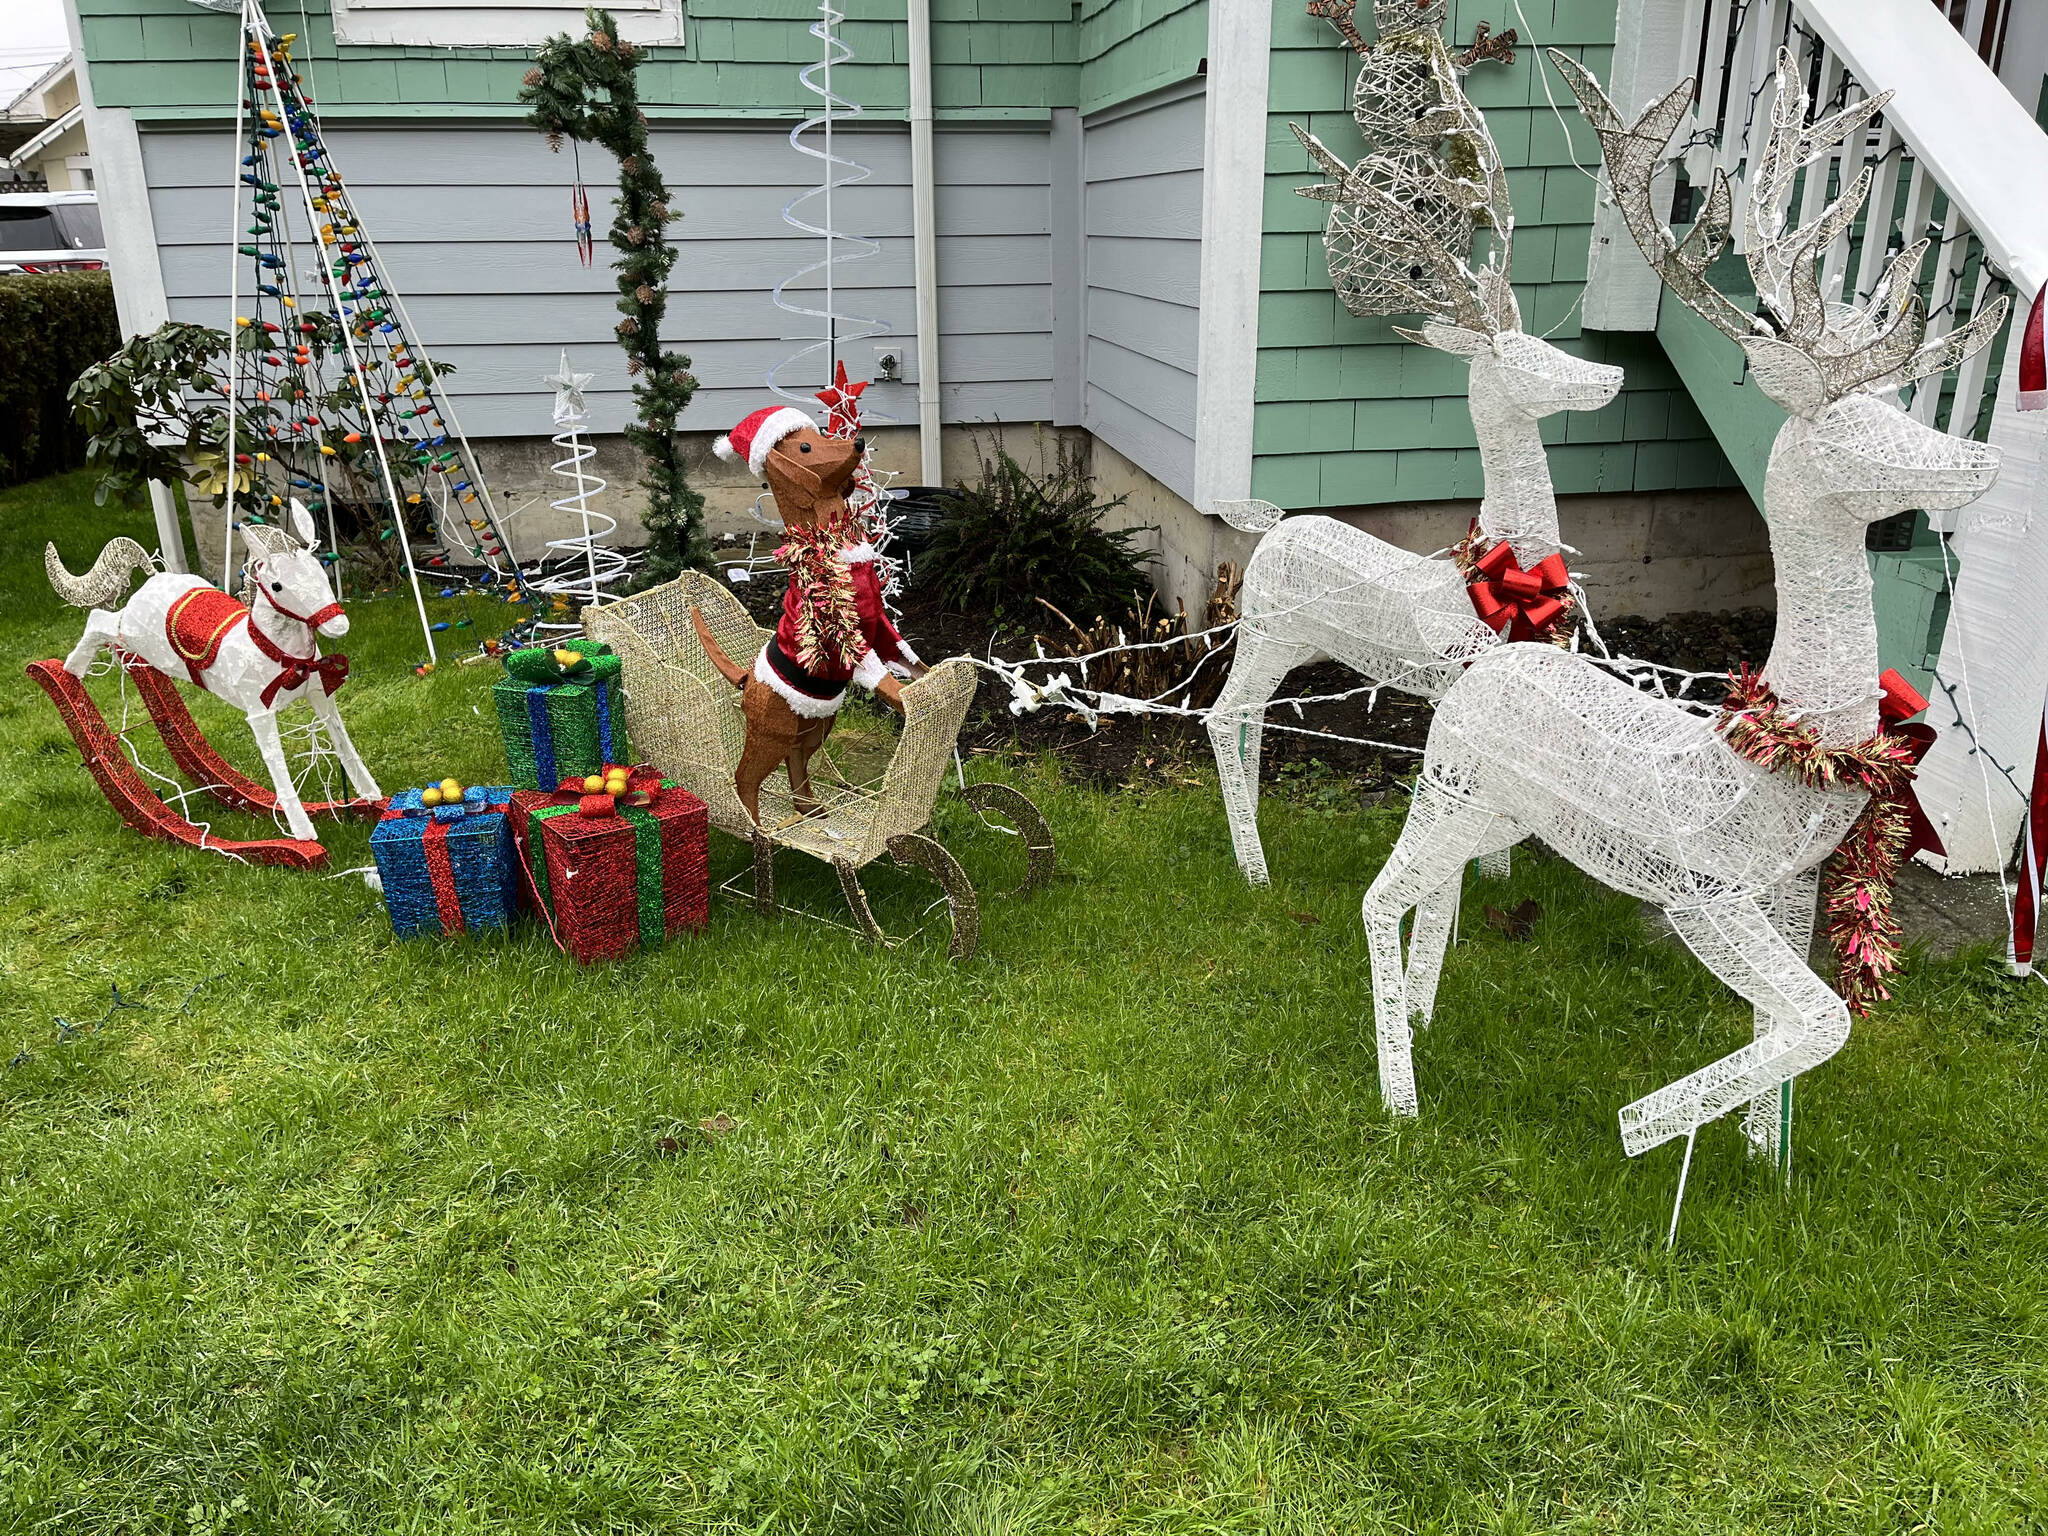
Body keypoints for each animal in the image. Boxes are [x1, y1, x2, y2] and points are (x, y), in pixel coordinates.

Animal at [1204, 66, 1622, 884]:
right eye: (1523, 359)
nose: (1612, 375)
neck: (1506, 568)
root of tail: (1271, 527)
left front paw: (1496, 882)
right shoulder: (1461, 682)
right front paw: (1472, 884)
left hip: (1285, 642)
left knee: (1251, 722)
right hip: (1265, 629)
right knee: (1221, 714)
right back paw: (1254, 872)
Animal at [1351, 51, 2007, 1163]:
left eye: (1899, 408)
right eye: (1855, 431)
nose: (1977, 456)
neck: (1783, 744)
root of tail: (1495, 654)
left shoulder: (1791, 886)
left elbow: (1794, 1034)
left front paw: (1759, 1161)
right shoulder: (1704, 894)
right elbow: (1822, 1020)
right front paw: (1644, 1125)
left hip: (1495, 808)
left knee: (1428, 897)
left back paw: (1432, 1017)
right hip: (1447, 788)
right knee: (1376, 897)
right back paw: (1400, 1097)